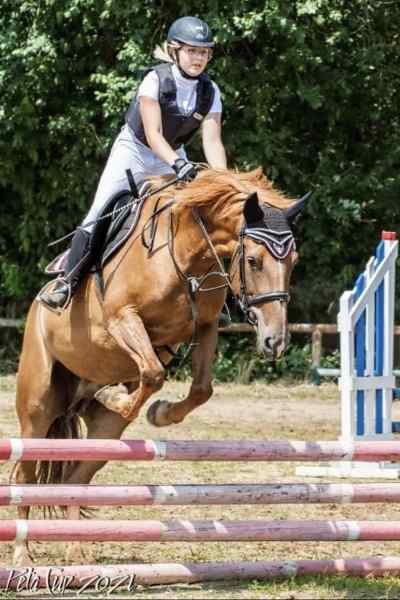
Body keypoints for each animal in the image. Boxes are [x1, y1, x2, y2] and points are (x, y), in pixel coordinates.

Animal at [14, 166, 304, 564]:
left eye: (294, 262)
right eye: (253, 261)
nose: (275, 341)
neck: (187, 252)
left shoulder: (205, 326)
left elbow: (201, 388)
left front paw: (160, 412)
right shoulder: (123, 318)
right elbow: (153, 373)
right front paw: (120, 397)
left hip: (105, 433)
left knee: (75, 478)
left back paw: (75, 549)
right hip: (37, 407)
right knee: (24, 475)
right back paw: (21, 555)